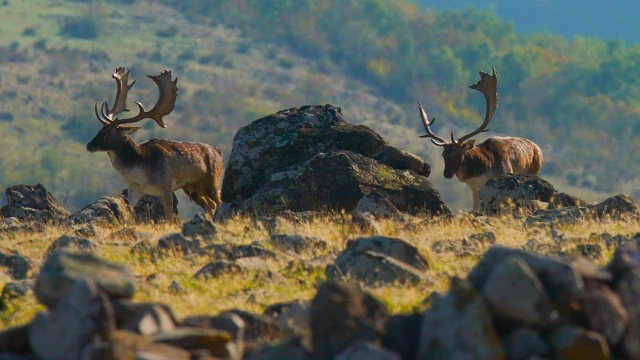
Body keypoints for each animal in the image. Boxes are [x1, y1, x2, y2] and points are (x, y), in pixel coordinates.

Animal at [86, 66, 224, 221]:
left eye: (109, 133)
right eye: (99, 130)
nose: (89, 145)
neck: (140, 171)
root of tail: (219, 152)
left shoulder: (166, 185)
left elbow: (169, 216)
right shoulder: (135, 189)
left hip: (212, 181)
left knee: (219, 201)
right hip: (193, 189)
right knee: (210, 205)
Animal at [418, 67, 544, 211]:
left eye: (460, 154)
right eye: (443, 155)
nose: (447, 173)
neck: (481, 175)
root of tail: (539, 149)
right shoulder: (475, 190)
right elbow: (475, 209)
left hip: (535, 170)